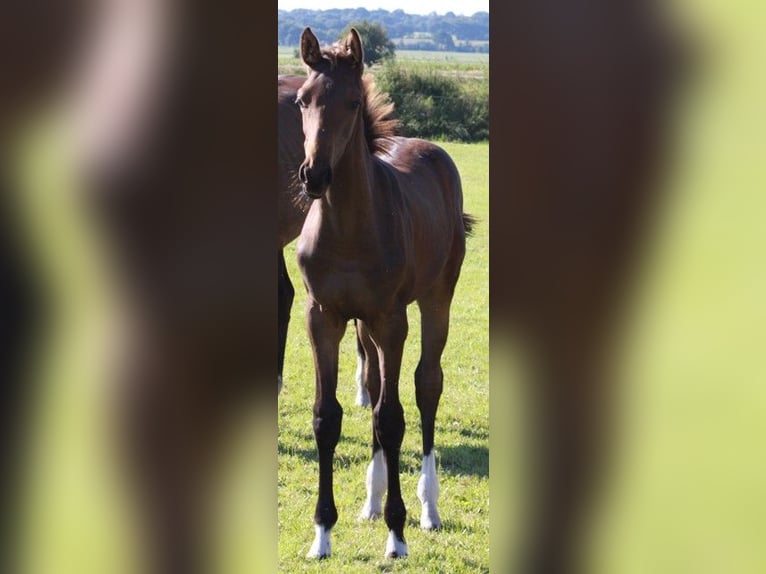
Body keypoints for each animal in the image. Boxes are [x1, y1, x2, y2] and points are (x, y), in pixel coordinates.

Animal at [293, 27, 475, 559]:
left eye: (353, 102)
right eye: (302, 100)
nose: (314, 175)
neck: (348, 227)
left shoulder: (393, 319)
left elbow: (392, 418)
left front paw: (397, 535)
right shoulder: (323, 316)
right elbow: (328, 417)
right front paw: (322, 533)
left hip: (435, 299)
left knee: (426, 385)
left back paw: (428, 509)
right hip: (363, 324)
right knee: (374, 386)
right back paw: (371, 504)